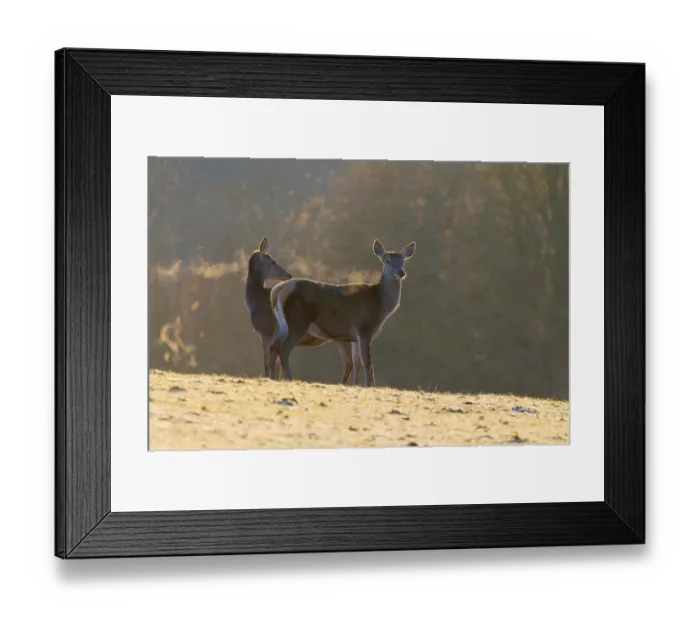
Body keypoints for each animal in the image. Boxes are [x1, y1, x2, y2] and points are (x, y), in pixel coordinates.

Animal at [244, 237, 361, 383]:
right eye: (273, 261)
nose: (289, 274)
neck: (255, 302)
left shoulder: (266, 332)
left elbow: (268, 364)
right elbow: (276, 364)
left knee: (349, 361)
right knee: (356, 361)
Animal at [268, 239, 416, 386]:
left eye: (403, 261)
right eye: (387, 261)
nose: (401, 272)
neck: (380, 305)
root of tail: (278, 290)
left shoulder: (354, 337)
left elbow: (357, 362)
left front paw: (356, 385)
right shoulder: (364, 329)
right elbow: (367, 363)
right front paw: (369, 386)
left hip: (283, 325)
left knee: (273, 346)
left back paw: (273, 377)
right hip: (297, 321)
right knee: (284, 349)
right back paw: (289, 378)